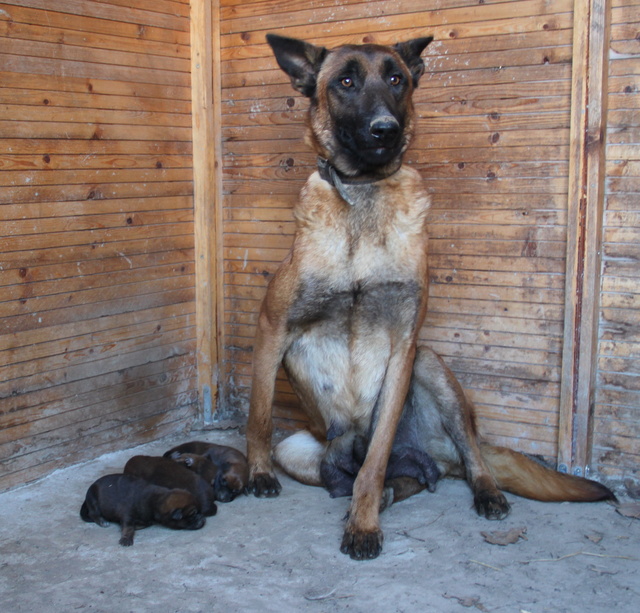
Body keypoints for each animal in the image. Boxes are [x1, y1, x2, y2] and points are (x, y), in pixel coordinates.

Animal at [245, 32, 616, 560]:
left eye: (396, 79)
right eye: (345, 82)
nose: (385, 128)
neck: (364, 197)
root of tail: (436, 453)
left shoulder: (405, 345)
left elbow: (376, 458)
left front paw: (364, 524)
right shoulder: (272, 327)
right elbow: (258, 416)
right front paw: (257, 475)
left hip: (431, 364)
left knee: (461, 456)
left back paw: (481, 493)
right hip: (298, 448)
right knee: (400, 476)